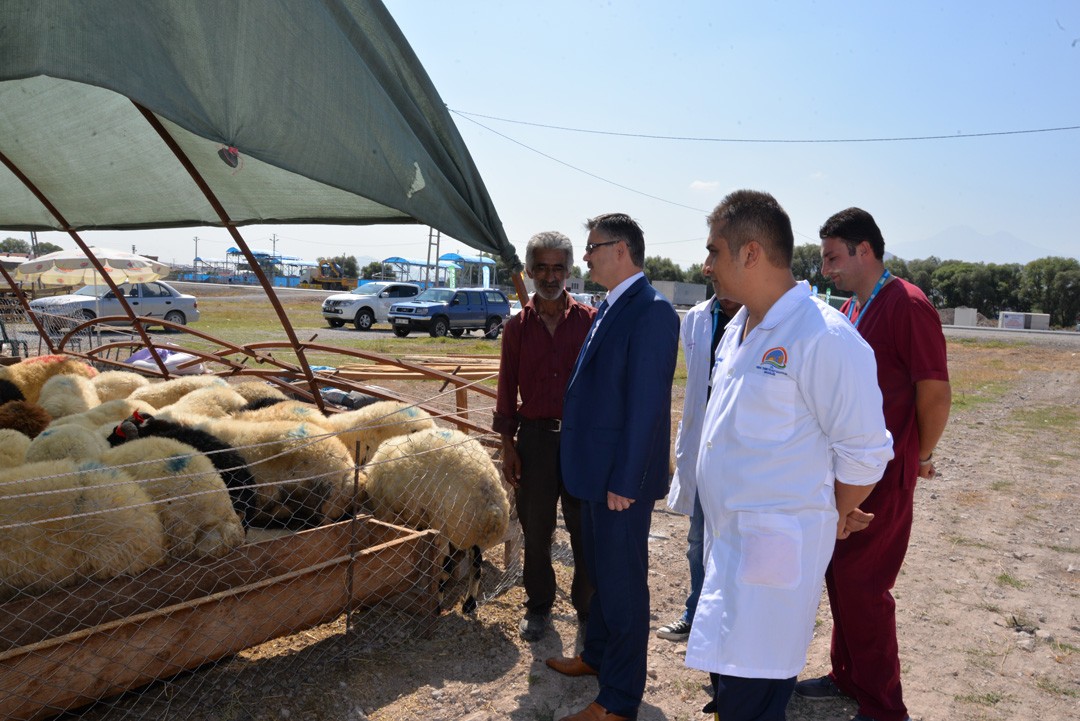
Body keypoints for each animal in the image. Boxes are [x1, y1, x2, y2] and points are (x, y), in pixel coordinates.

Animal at [362, 427, 509, 613]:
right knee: (476, 566)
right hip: (469, 534)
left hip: (445, 527)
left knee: (445, 569)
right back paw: (469, 604)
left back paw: (437, 605)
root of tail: (492, 508)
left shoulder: (387, 511)